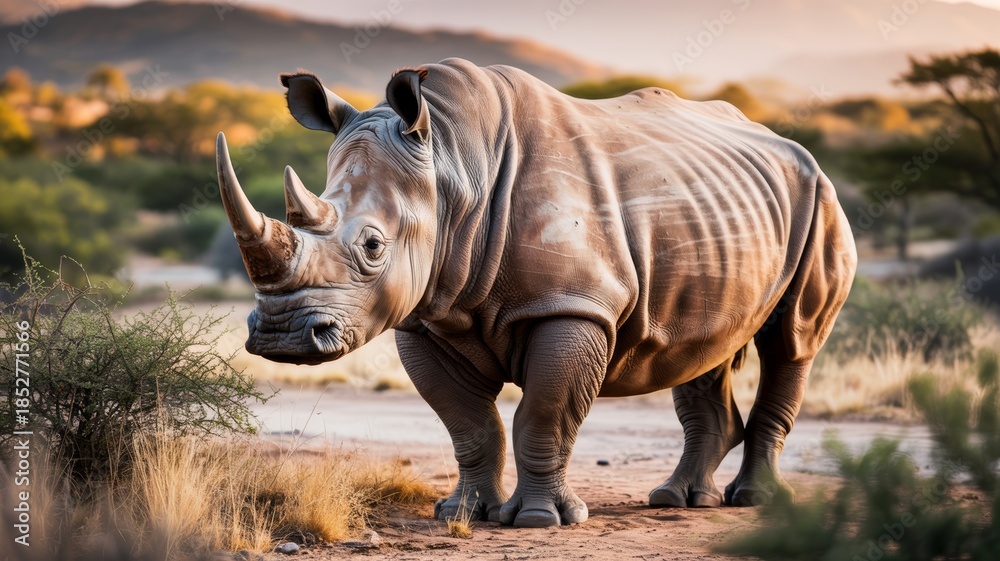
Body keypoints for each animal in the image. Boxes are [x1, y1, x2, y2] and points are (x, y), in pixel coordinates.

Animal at [215, 58, 857, 528]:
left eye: (373, 247)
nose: (281, 337)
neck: (452, 165)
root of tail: (788, 145)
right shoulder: (426, 314)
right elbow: (469, 423)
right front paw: (460, 513)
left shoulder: (573, 307)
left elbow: (544, 415)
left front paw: (540, 520)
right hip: (718, 211)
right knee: (703, 345)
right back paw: (676, 501)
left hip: (820, 199)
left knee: (791, 342)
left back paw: (752, 502)